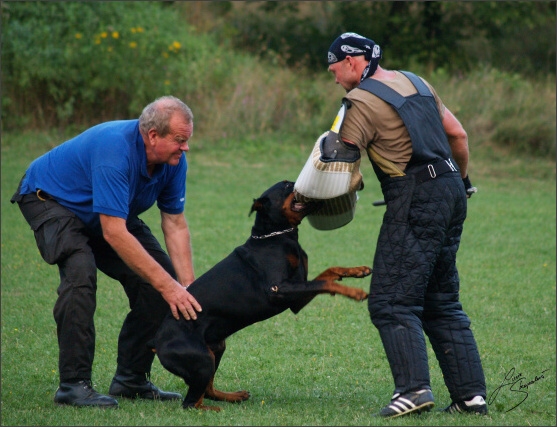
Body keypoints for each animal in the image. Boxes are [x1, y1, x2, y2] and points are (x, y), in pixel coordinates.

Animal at [150, 181, 372, 412]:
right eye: (287, 186)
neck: (277, 236)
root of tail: (157, 341)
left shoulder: (297, 298)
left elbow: (329, 272)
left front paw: (358, 271)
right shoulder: (278, 290)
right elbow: (325, 282)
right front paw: (356, 292)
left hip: (215, 349)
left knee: (207, 391)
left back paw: (234, 396)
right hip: (201, 360)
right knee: (190, 403)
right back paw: (213, 410)